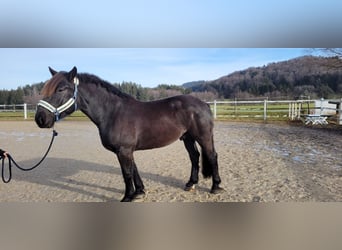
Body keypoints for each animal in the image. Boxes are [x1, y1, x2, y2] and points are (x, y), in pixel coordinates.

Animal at [33, 66, 223, 201]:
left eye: (61, 89)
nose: (40, 119)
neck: (113, 112)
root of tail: (204, 104)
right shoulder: (127, 150)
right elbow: (133, 169)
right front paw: (139, 192)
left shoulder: (123, 150)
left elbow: (126, 173)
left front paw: (127, 197)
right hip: (187, 138)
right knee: (194, 156)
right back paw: (191, 183)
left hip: (203, 136)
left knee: (212, 155)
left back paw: (215, 187)